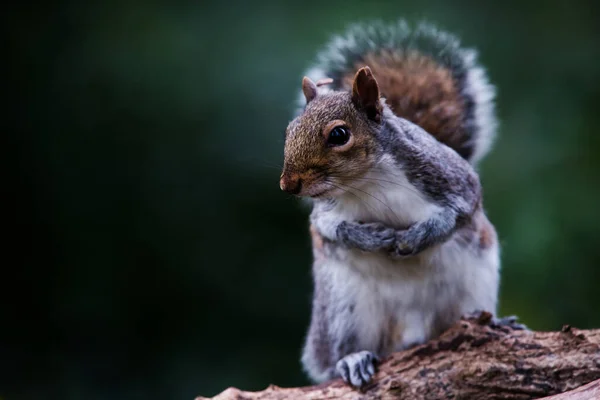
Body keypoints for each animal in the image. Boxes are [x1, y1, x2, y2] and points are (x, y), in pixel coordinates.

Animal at [282, 21, 520, 388]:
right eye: (290, 129)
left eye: (338, 135)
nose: (288, 184)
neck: (369, 181)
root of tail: (409, 334)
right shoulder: (325, 212)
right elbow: (330, 228)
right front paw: (370, 238)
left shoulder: (451, 178)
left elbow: (460, 211)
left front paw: (415, 238)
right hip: (342, 312)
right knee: (331, 359)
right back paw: (352, 359)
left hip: (474, 288)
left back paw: (496, 322)